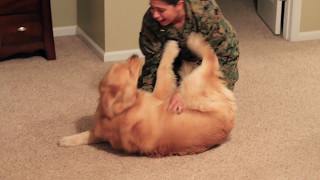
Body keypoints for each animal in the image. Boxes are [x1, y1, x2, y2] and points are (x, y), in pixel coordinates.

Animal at [58, 33, 236, 157]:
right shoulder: (159, 94)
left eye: (122, 64)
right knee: (210, 58)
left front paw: (65, 140)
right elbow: (162, 68)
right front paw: (171, 47)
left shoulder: (102, 132)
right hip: (193, 85)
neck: (120, 110)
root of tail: (230, 120)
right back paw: (193, 43)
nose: (135, 55)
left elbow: (86, 134)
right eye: (129, 71)